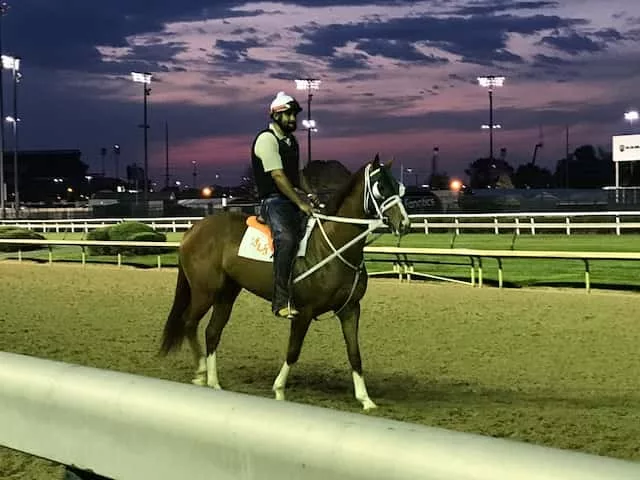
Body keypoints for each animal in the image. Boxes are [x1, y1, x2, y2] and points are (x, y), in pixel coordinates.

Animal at [160, 156, 410, 410]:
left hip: (226, 293)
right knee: (189, 322)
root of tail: (193, 229)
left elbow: (354, 353)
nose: (404, 223)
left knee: (212, 331)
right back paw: (201, 372)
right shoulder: (303, 312)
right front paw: (279, 389)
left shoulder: (350, 309)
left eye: (399, 187)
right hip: (205, 292)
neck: (331, 245)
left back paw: (213, 382)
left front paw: (365, 399)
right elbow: (293, 351)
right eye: (380, 187)